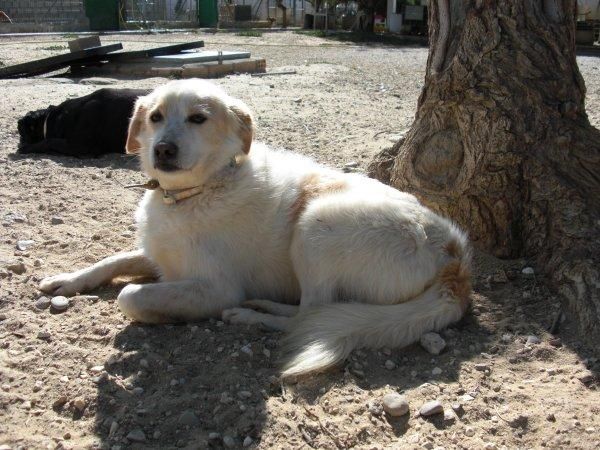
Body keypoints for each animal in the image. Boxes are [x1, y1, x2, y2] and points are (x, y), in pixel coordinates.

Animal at [39, 78, 472, 376]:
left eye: (198, 118)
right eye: (155, 117)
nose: (162, 149)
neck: (196, 192)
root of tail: (454, 259)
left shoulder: (215, 288)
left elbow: (130, 295)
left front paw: (162, 315)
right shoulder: (160, 256)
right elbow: (113, 259)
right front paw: (67, 280)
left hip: (316, 223)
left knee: (311, 313)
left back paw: (251, 315)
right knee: (311, 309)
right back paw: (262, 304)